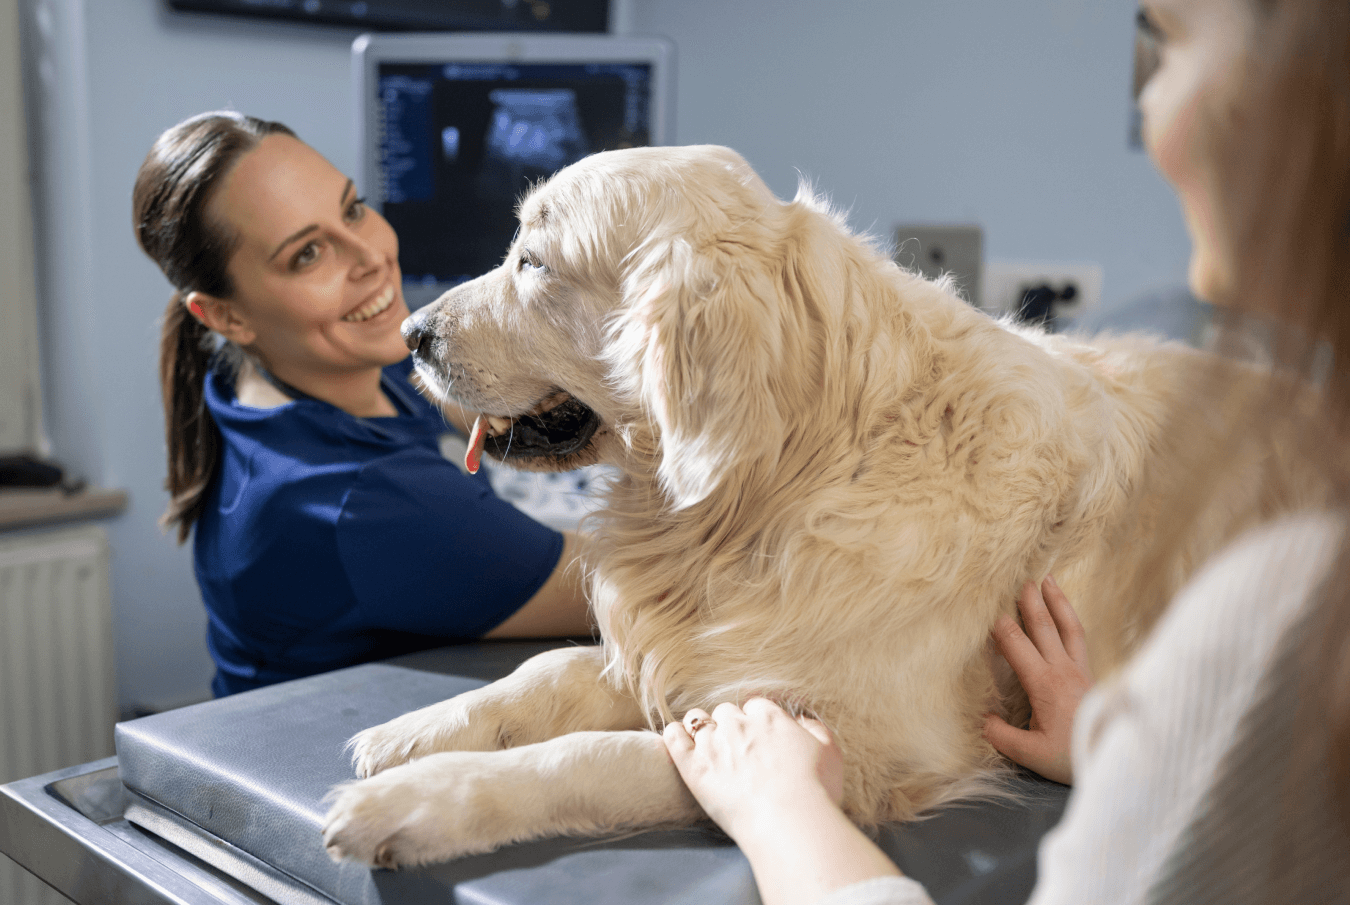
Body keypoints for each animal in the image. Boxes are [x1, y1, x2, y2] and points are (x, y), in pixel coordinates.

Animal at [318, 145, 1317, 869]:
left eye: (532, 262)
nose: (410, 333)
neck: (791, 475)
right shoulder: (693, 643)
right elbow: (548, 671)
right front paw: (418, 731)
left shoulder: (850, 749)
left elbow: (591, 755)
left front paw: (412, 801)